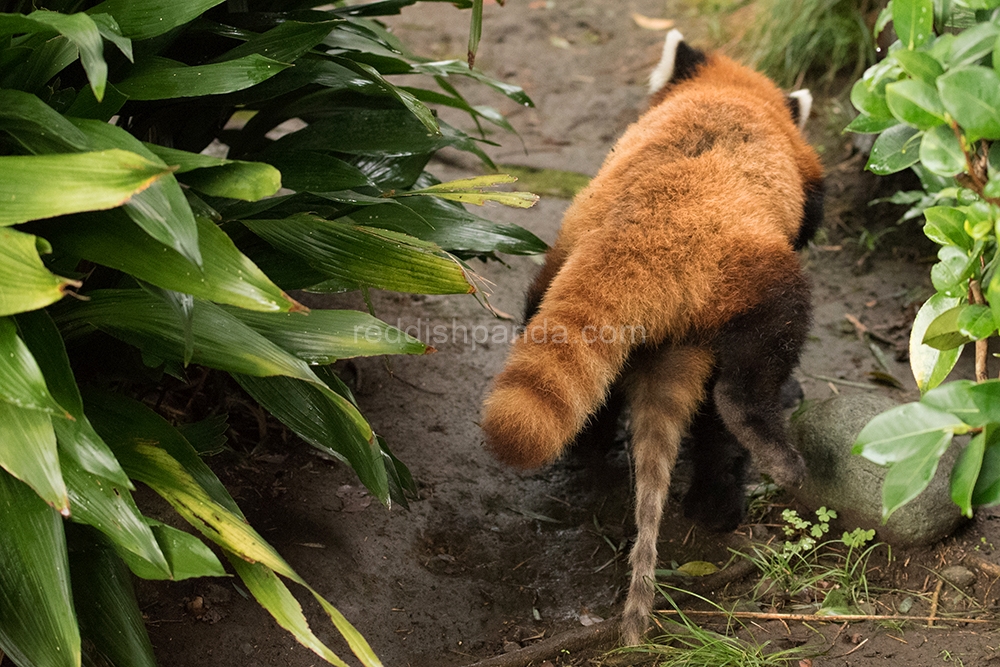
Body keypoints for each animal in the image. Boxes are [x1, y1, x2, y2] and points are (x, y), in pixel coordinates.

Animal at [480, 28, 824, 644]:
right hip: (747, 274)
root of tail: (645, 229)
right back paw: (754, 456)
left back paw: (590, 445)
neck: (733, 93)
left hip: (561, 256)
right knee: (750, 373)